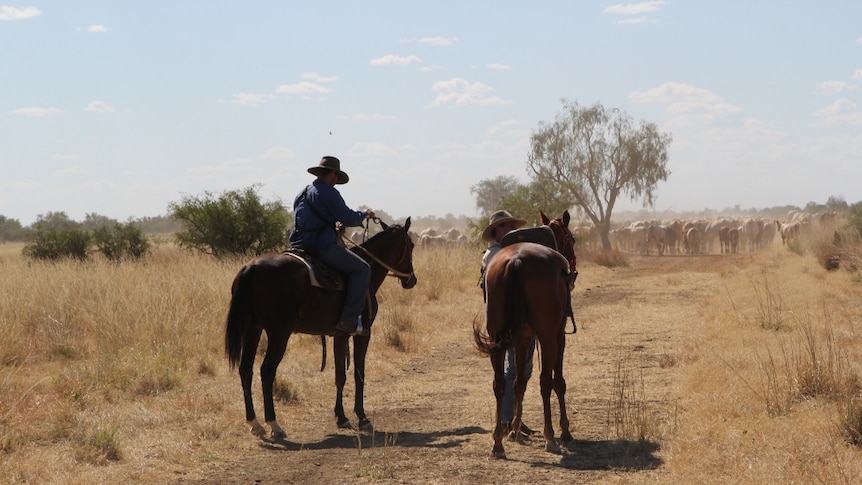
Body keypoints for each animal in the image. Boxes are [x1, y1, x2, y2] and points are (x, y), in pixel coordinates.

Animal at [224, 217, 416, 436]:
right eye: (411, 245)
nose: (412, 279)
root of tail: (251, 268)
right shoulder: (363, 334)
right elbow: (359, 373)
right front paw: (362, 418)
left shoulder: (340, 335)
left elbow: (340, 376)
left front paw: (341, 417)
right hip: (278, 334)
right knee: (266, 371)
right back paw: (274, 424)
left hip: (253, 330)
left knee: (245, 370)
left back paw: (255, 424)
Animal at [476, 210, 576, 456]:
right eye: (572, 239)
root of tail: (516, 262)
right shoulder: (557, 335)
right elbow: (558, 381)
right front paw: (565, 431)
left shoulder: (523, 339)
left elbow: (519, 381)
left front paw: (514, 430)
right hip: (547, 337)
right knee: (545, 382)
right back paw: (550, 437)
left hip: (497, 339)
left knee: (500, 383)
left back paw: (498, 442)